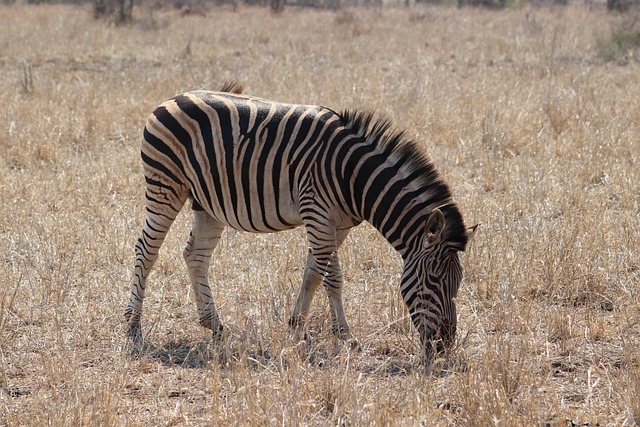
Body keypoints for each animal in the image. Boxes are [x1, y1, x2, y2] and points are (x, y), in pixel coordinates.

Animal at [125, 81, 476, 363]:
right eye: (433, 279)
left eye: (458, 281)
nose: (444, 346)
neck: (353, 177)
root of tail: (174, 97)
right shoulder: (317, 212)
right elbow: (323, 277)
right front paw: (321, 336)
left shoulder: (337, 224)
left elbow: (323, 276)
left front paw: (319, 333)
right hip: (166, 185)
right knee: (146, 250)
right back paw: (133, 328)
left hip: (207, 202)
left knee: (195, 255)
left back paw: (215, 326)